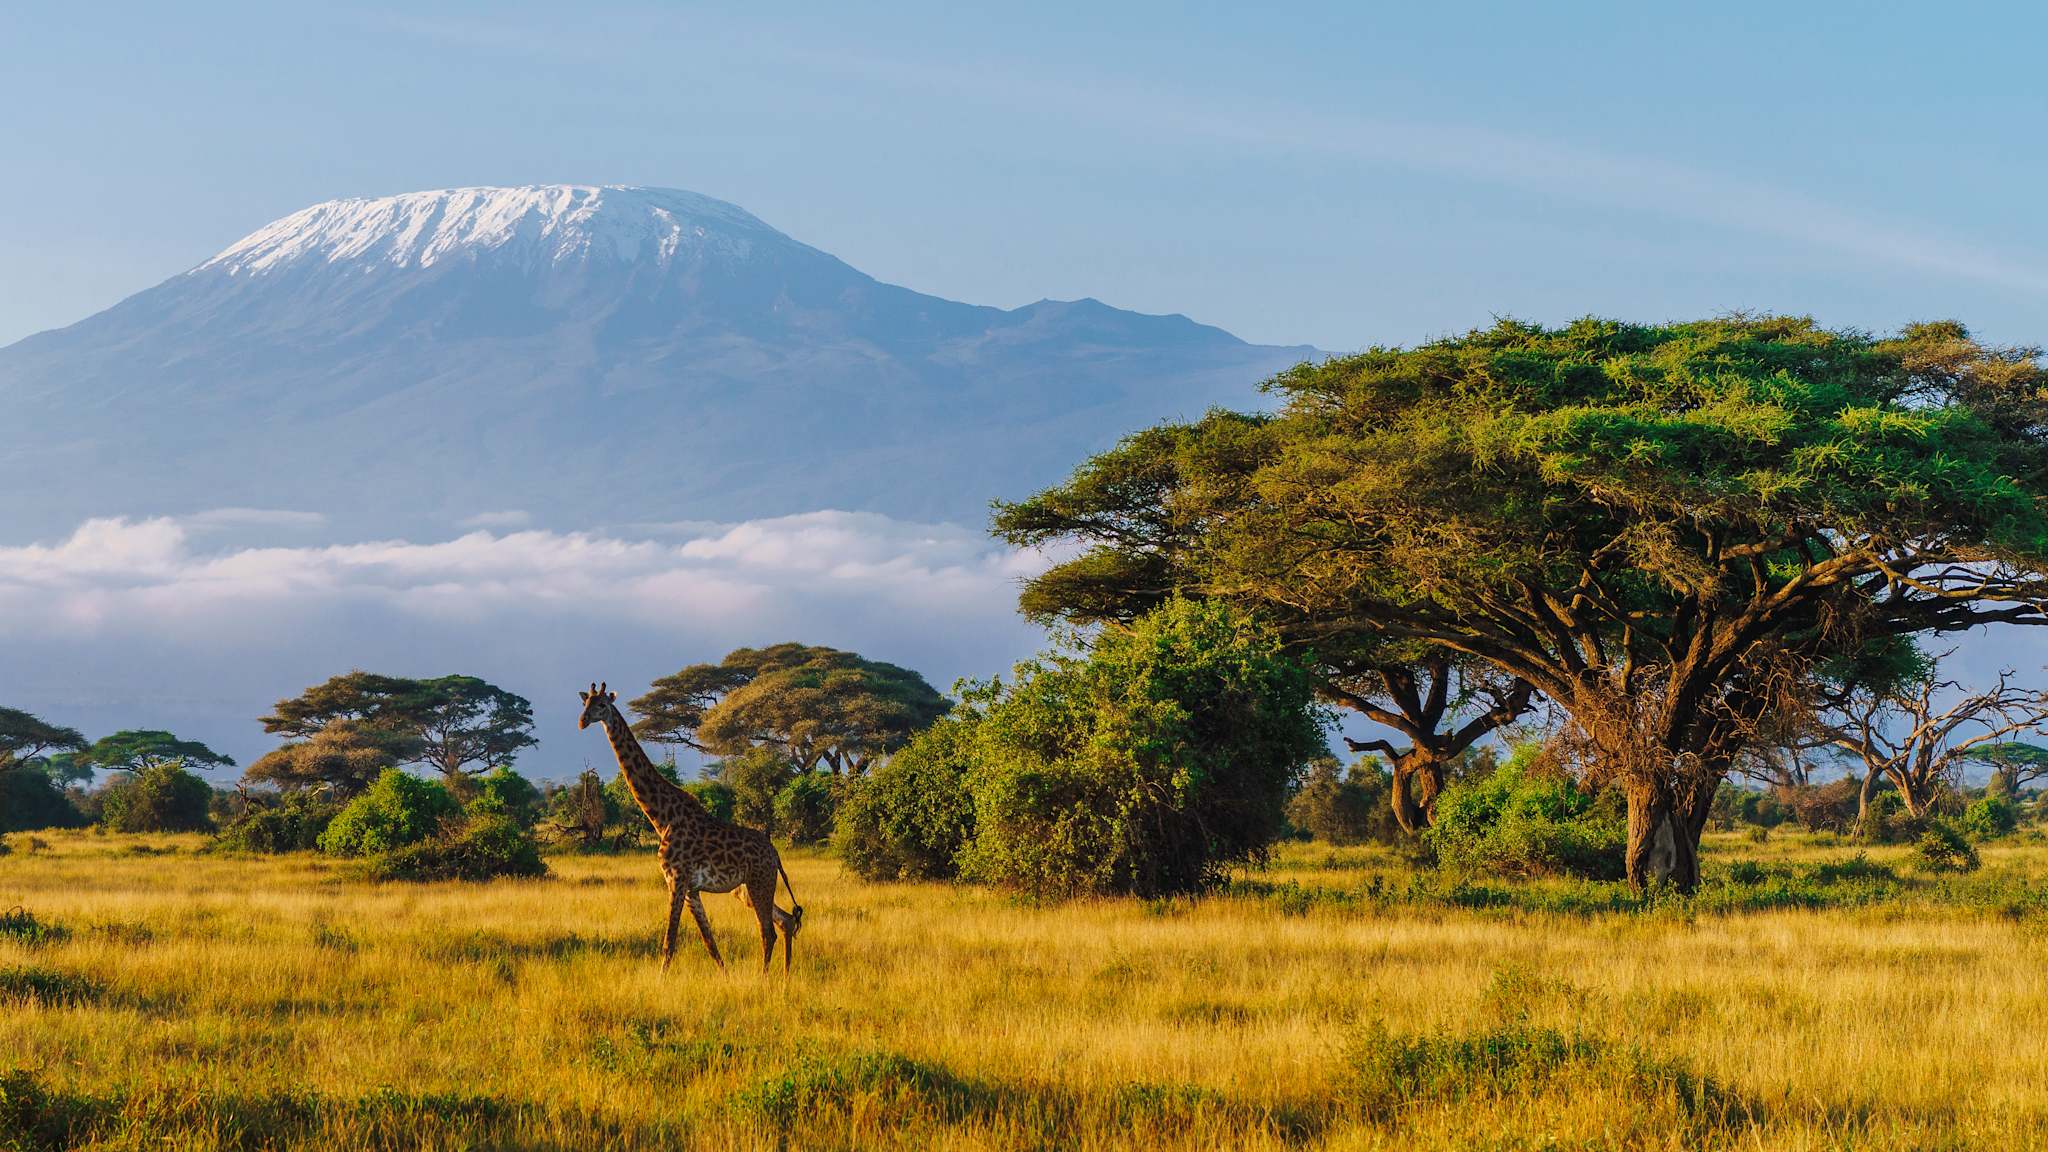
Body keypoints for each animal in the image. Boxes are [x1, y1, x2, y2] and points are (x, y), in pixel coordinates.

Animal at [578, 682, 803, 972]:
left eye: (602, 705)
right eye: (585, 703)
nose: (583, 721)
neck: (662, 817)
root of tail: (774, 853)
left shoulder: (676, 879)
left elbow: (669, 943)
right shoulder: (691, 889)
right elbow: (710, 944)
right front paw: (725, 976)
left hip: (759, 881)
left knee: (768, 931)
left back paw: (764, 978)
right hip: (746, 890)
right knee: (786, 920)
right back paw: (785, 976)